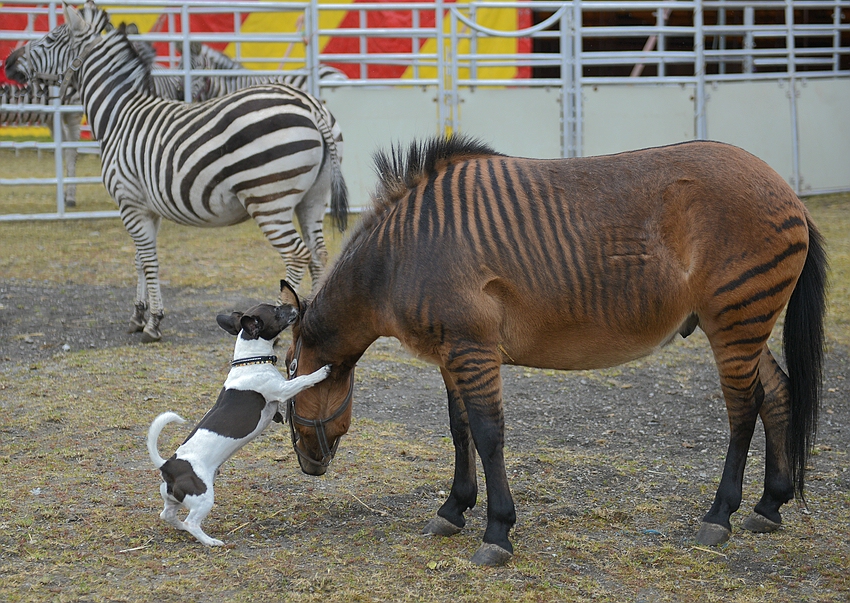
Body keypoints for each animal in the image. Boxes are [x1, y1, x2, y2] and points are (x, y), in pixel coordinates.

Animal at [148, 302, 328, 548]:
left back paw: (180, 527)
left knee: (166, 514)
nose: (293, 305)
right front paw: (322, 372)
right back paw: (210, 541)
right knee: (191, 522)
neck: (251, 360)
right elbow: (302, 380)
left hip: (174, 498)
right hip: (203, 497)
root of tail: (168, 466)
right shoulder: (282, 390)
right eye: (276, 311)